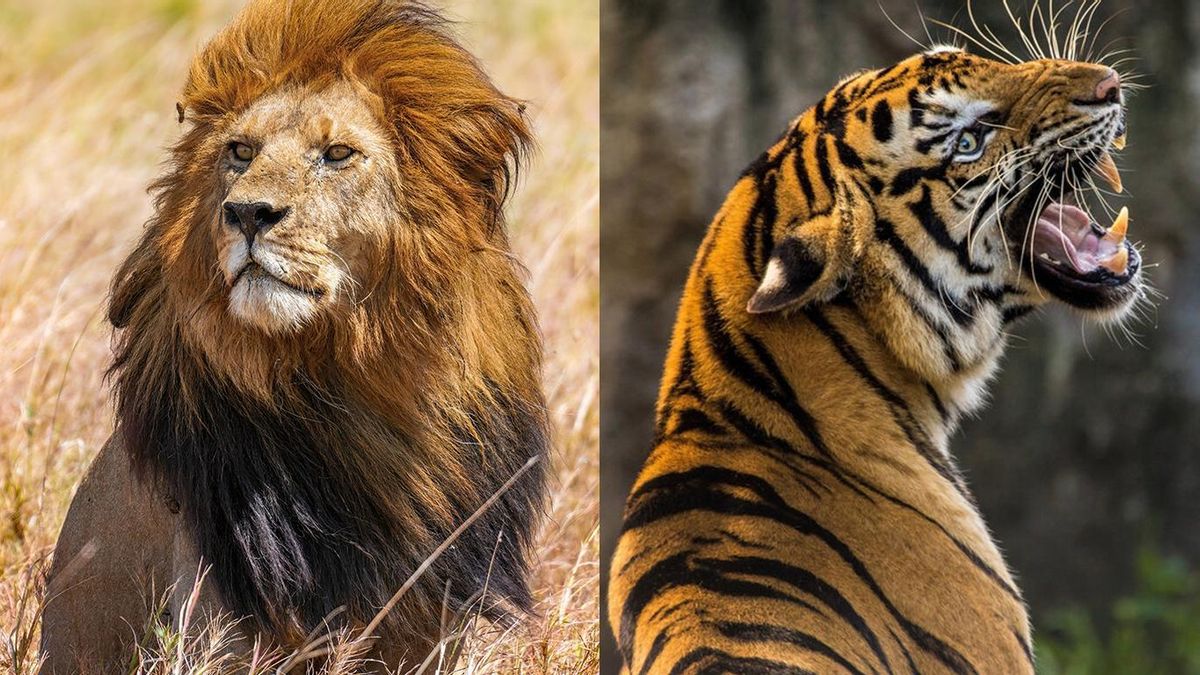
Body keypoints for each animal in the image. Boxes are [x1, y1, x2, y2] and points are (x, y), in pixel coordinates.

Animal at [38, 0, 548, 671]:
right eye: (240, 151)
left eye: (336, 154)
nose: (247, 212)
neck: (351, 380)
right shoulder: (220, 618)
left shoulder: (433, 624)